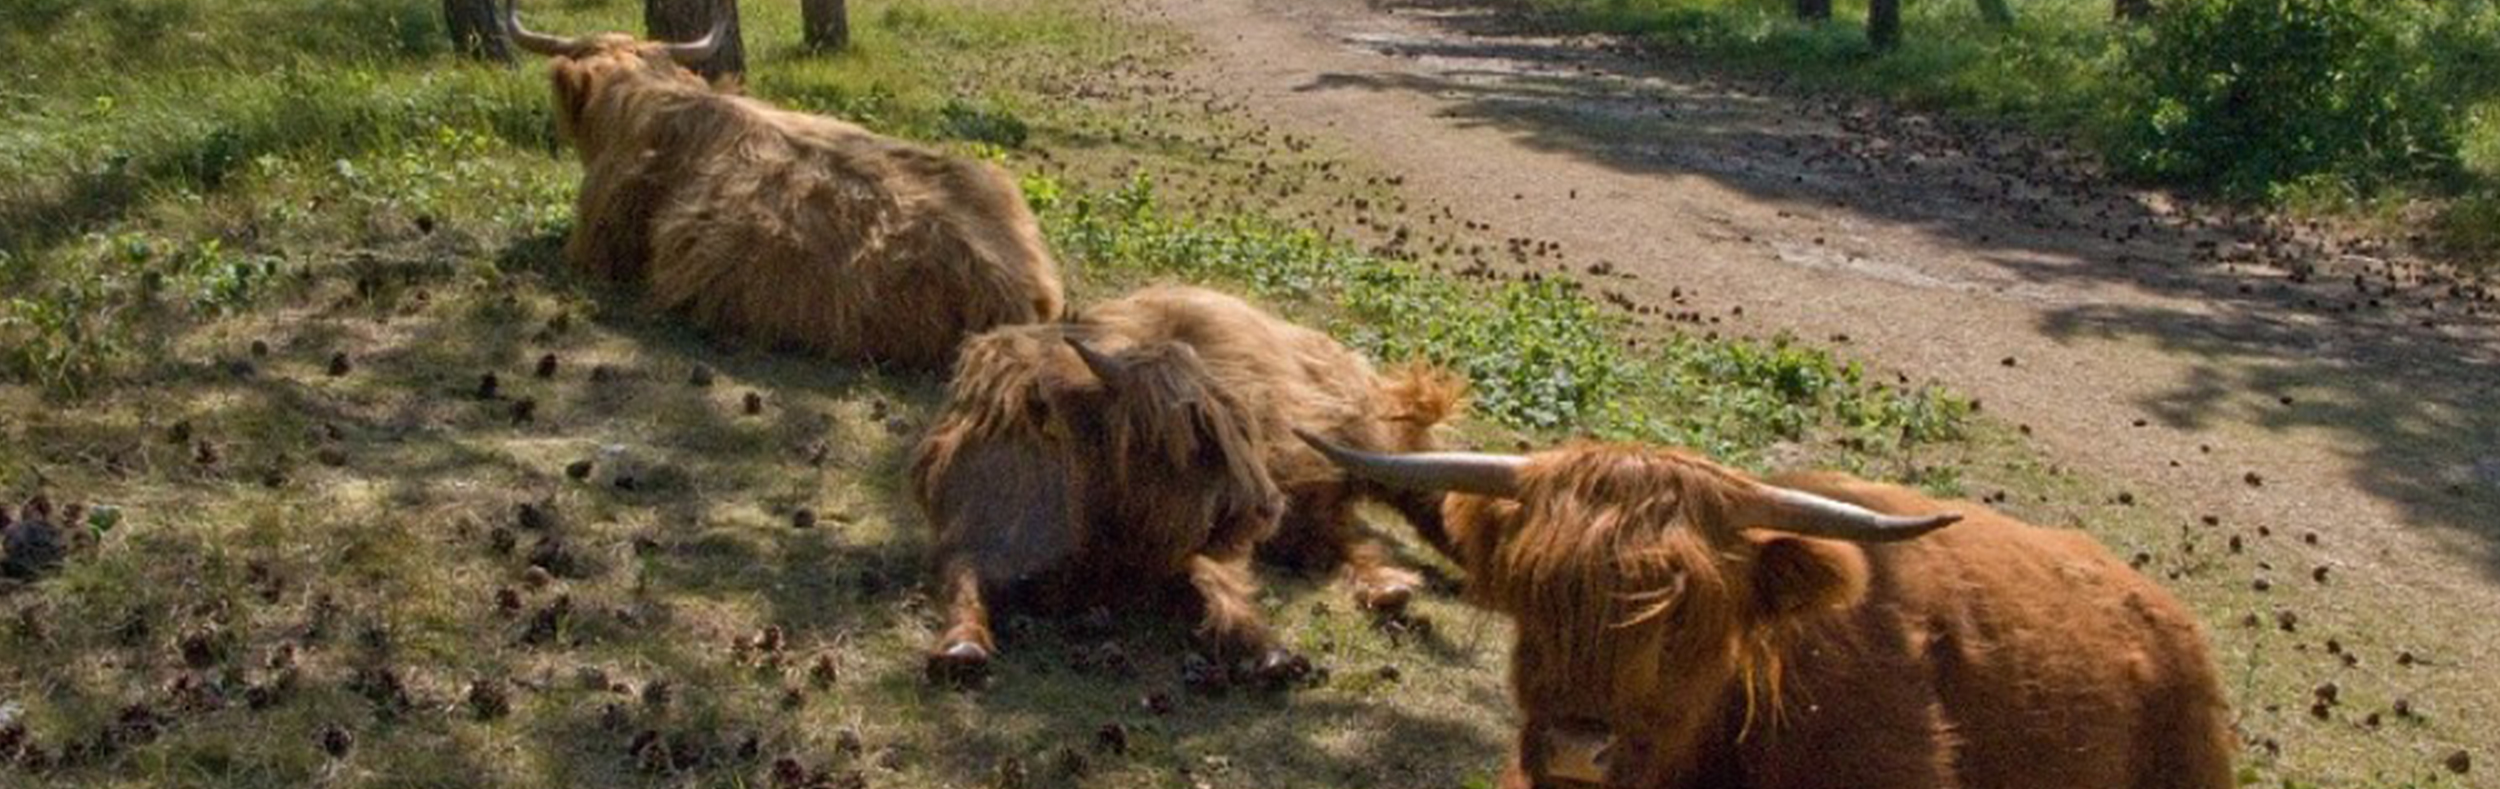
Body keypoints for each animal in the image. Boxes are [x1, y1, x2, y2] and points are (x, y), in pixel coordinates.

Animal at [911, 285, 1464, 685]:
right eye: (1191, 439)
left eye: (1234, 427)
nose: (1266, 507)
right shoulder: (966, 534)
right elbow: (962, 581)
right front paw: (961, 649)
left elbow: (1214, 584)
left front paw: (1270, 654)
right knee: (1337, 535)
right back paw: (1387, 587)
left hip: (1361, 437)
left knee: (1423, 493)